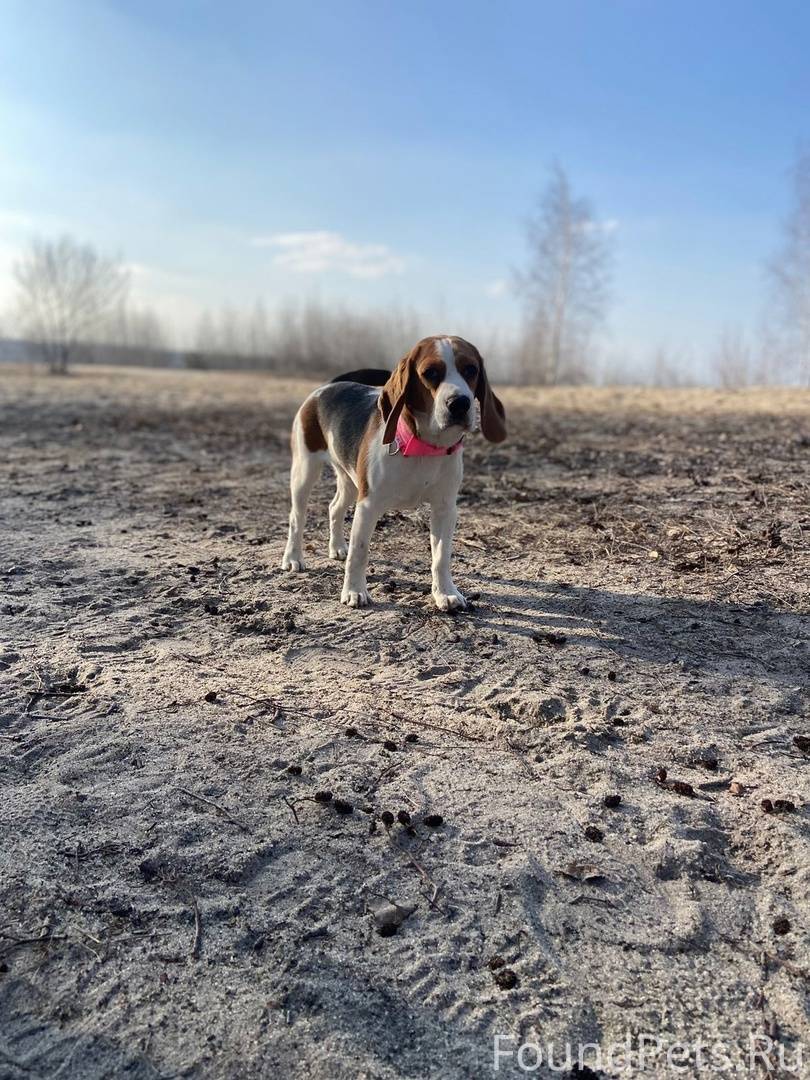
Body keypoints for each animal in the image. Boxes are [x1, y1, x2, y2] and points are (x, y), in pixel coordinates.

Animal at [282, 332, 505, 613]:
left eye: (471, 369)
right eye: (431, 372)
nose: (460, 403)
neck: (423, 447)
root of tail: (325, 388)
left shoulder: (445, 509)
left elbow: (441, 557)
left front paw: (445, 593)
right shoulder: (368, 506)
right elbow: (360, 552)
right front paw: (354, 591)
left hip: (350, 481)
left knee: (334, 508)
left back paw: (337, 548)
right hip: (304, 472)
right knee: (296, 517)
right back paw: (293, 558)